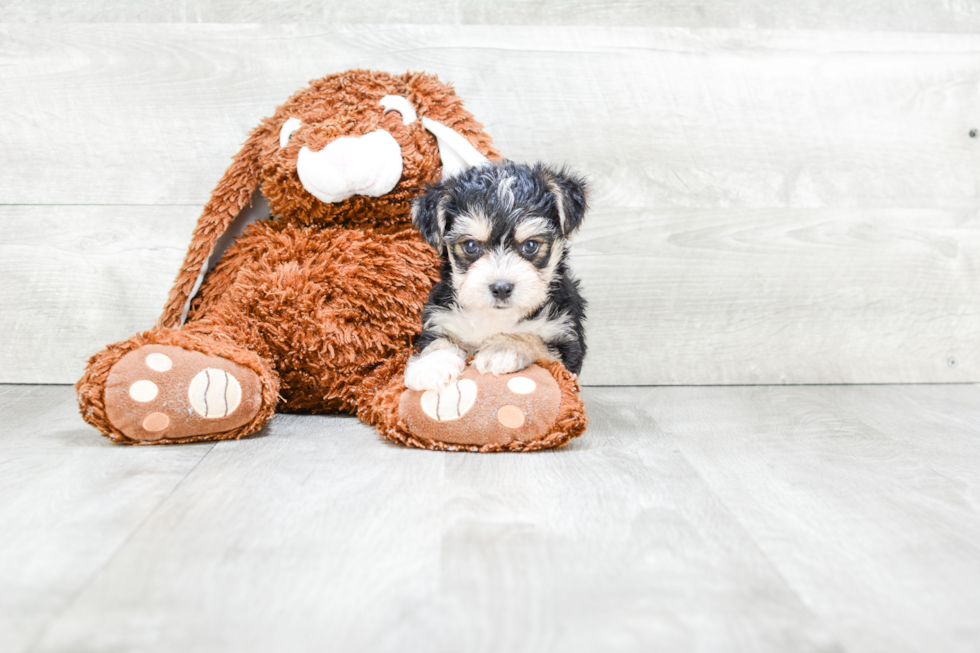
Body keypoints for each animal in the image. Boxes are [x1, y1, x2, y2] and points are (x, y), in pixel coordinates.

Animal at [402, 160, 584, 390]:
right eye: (471, 246)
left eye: (530, 245)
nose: (501, 288)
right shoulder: (441, 317)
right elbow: (438, 341)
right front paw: (431, 365)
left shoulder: (566, 345)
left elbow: (536, 341)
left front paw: (505, 348)